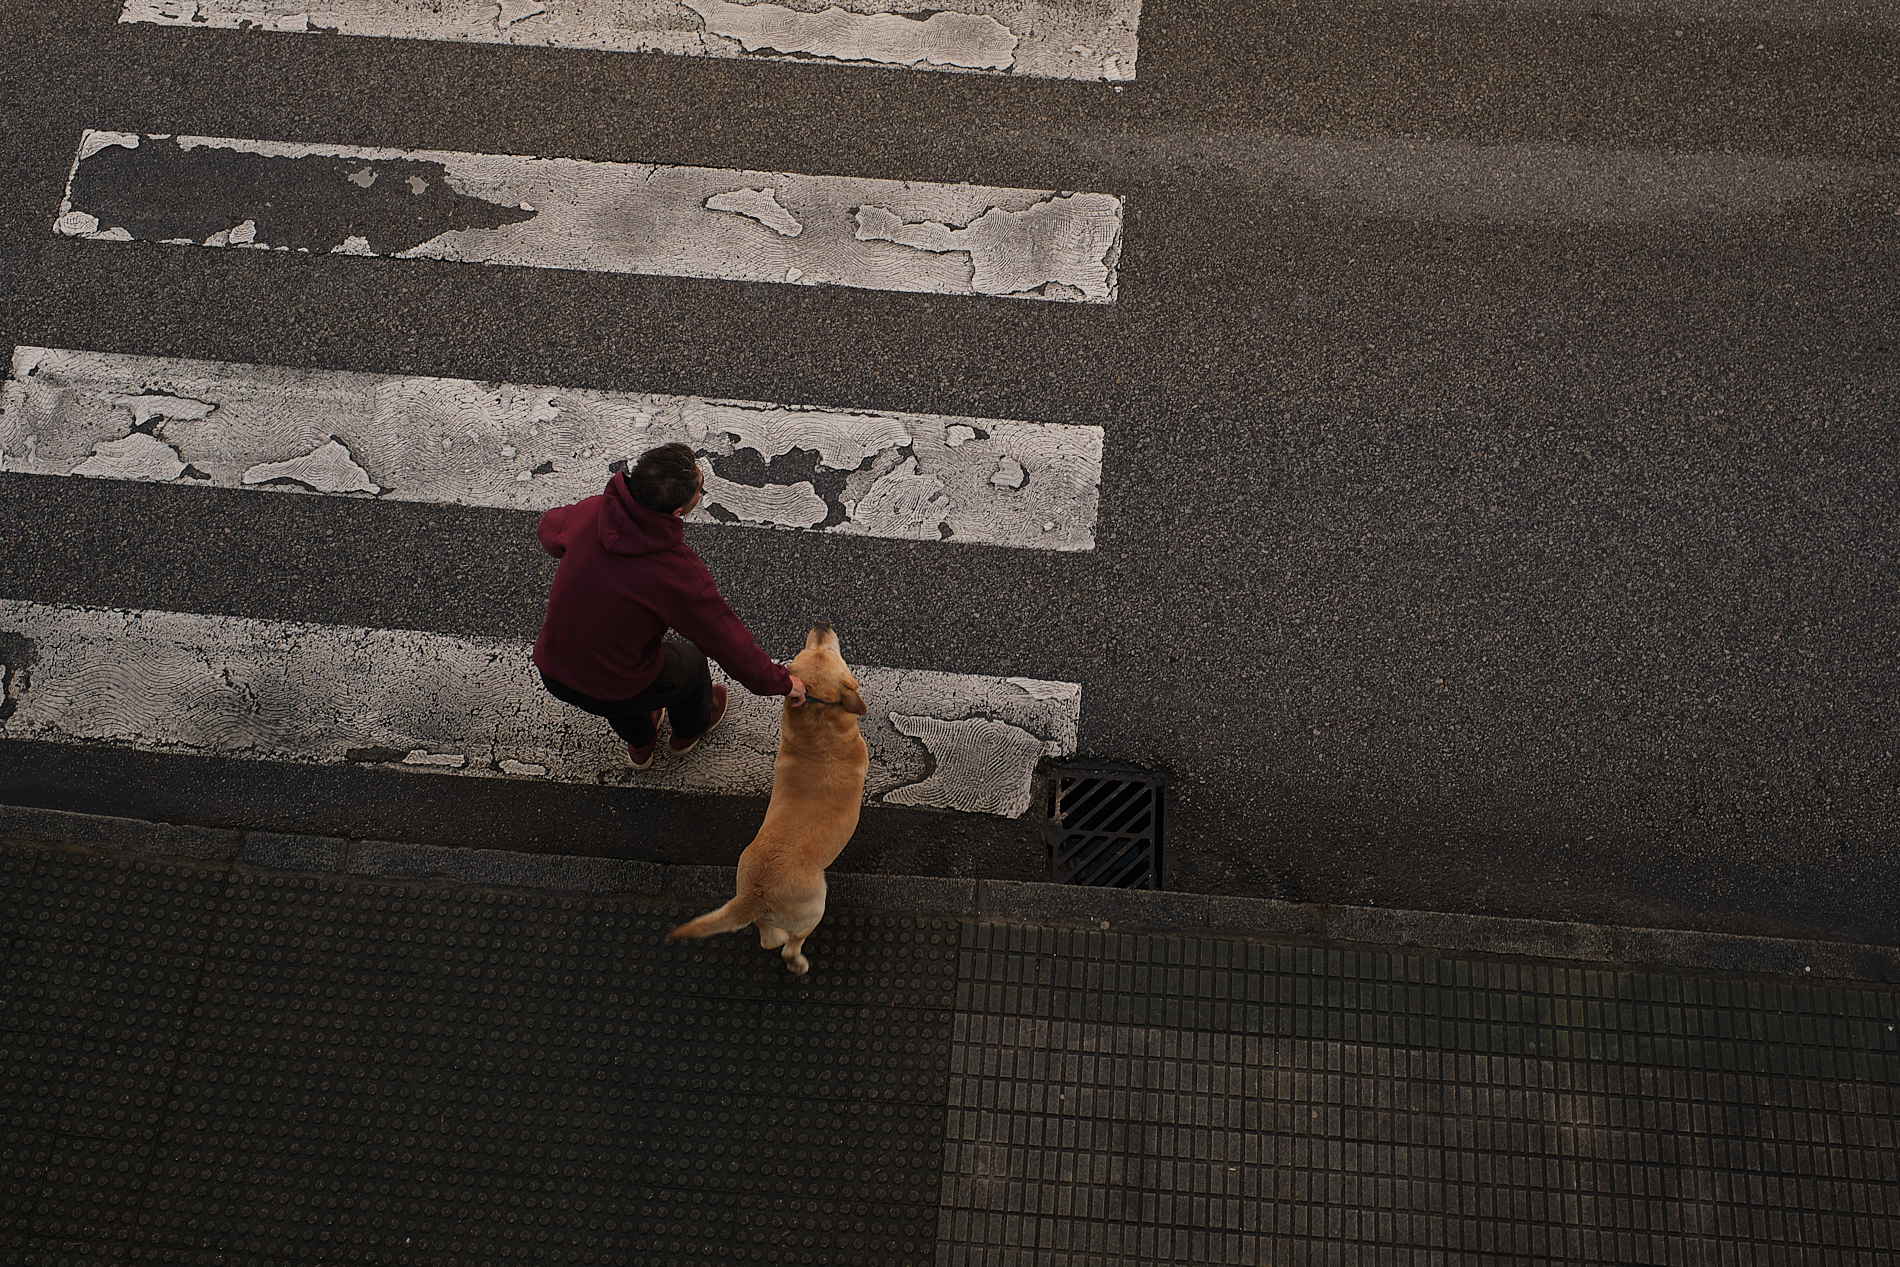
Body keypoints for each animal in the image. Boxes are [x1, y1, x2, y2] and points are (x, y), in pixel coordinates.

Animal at [668, 623, 870, 972]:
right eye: (827, 653)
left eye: (811, 649)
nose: (821, 625)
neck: (817, 727)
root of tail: (754, 896)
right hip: (815, 905)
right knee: (790, 946)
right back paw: (798, 962)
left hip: (756, 900)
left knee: (768, 939)